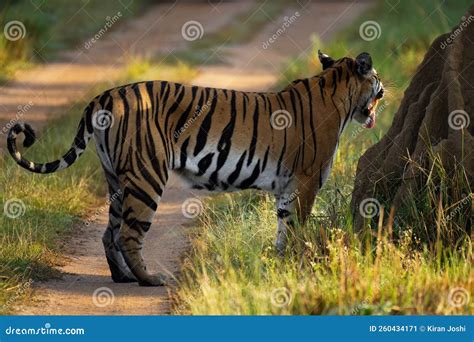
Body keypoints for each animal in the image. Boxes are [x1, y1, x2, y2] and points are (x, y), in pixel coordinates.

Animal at [7, 50, 384, 286]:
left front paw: (280, 264)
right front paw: (297, 263)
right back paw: (149, 280)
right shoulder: (305, 183)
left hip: (116, 178)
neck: (337, 91)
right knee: (128, 233)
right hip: (147, 175)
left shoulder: (288, 189)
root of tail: (105, 95)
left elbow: (282, 229)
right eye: (377, 83)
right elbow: (296, 229)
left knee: (109, 232)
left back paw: (123, 277)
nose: (384, 93)